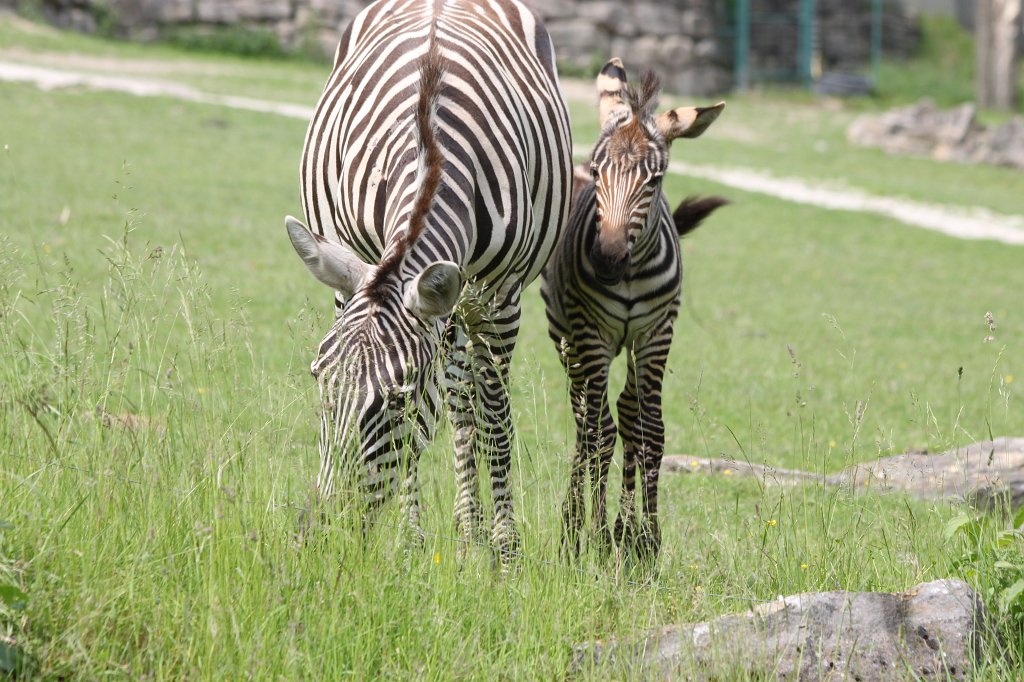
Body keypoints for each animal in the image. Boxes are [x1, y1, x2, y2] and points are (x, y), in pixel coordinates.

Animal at [284, 0, 572, 564]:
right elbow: (419, 440)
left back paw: (474, 531)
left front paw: (505, 550)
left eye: (395, 401)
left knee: (467, 404)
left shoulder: (500, 299)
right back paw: (463, 529)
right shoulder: (360, 268)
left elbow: (494, 416)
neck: (431, 150)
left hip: (468, 303)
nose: (324, 536)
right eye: (318, 380)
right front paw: (410, 539)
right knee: (457, 396)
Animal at [541, 58, 726, 561]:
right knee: (585, 419)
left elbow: (650, 430)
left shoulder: (657, 332)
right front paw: (599, 535)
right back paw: (573, 526)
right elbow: (600, 434)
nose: (607, 261)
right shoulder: (591, 332)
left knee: (623, 410)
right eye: (597, 170)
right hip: (567, 338)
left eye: (654, 180)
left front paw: (646, 539)